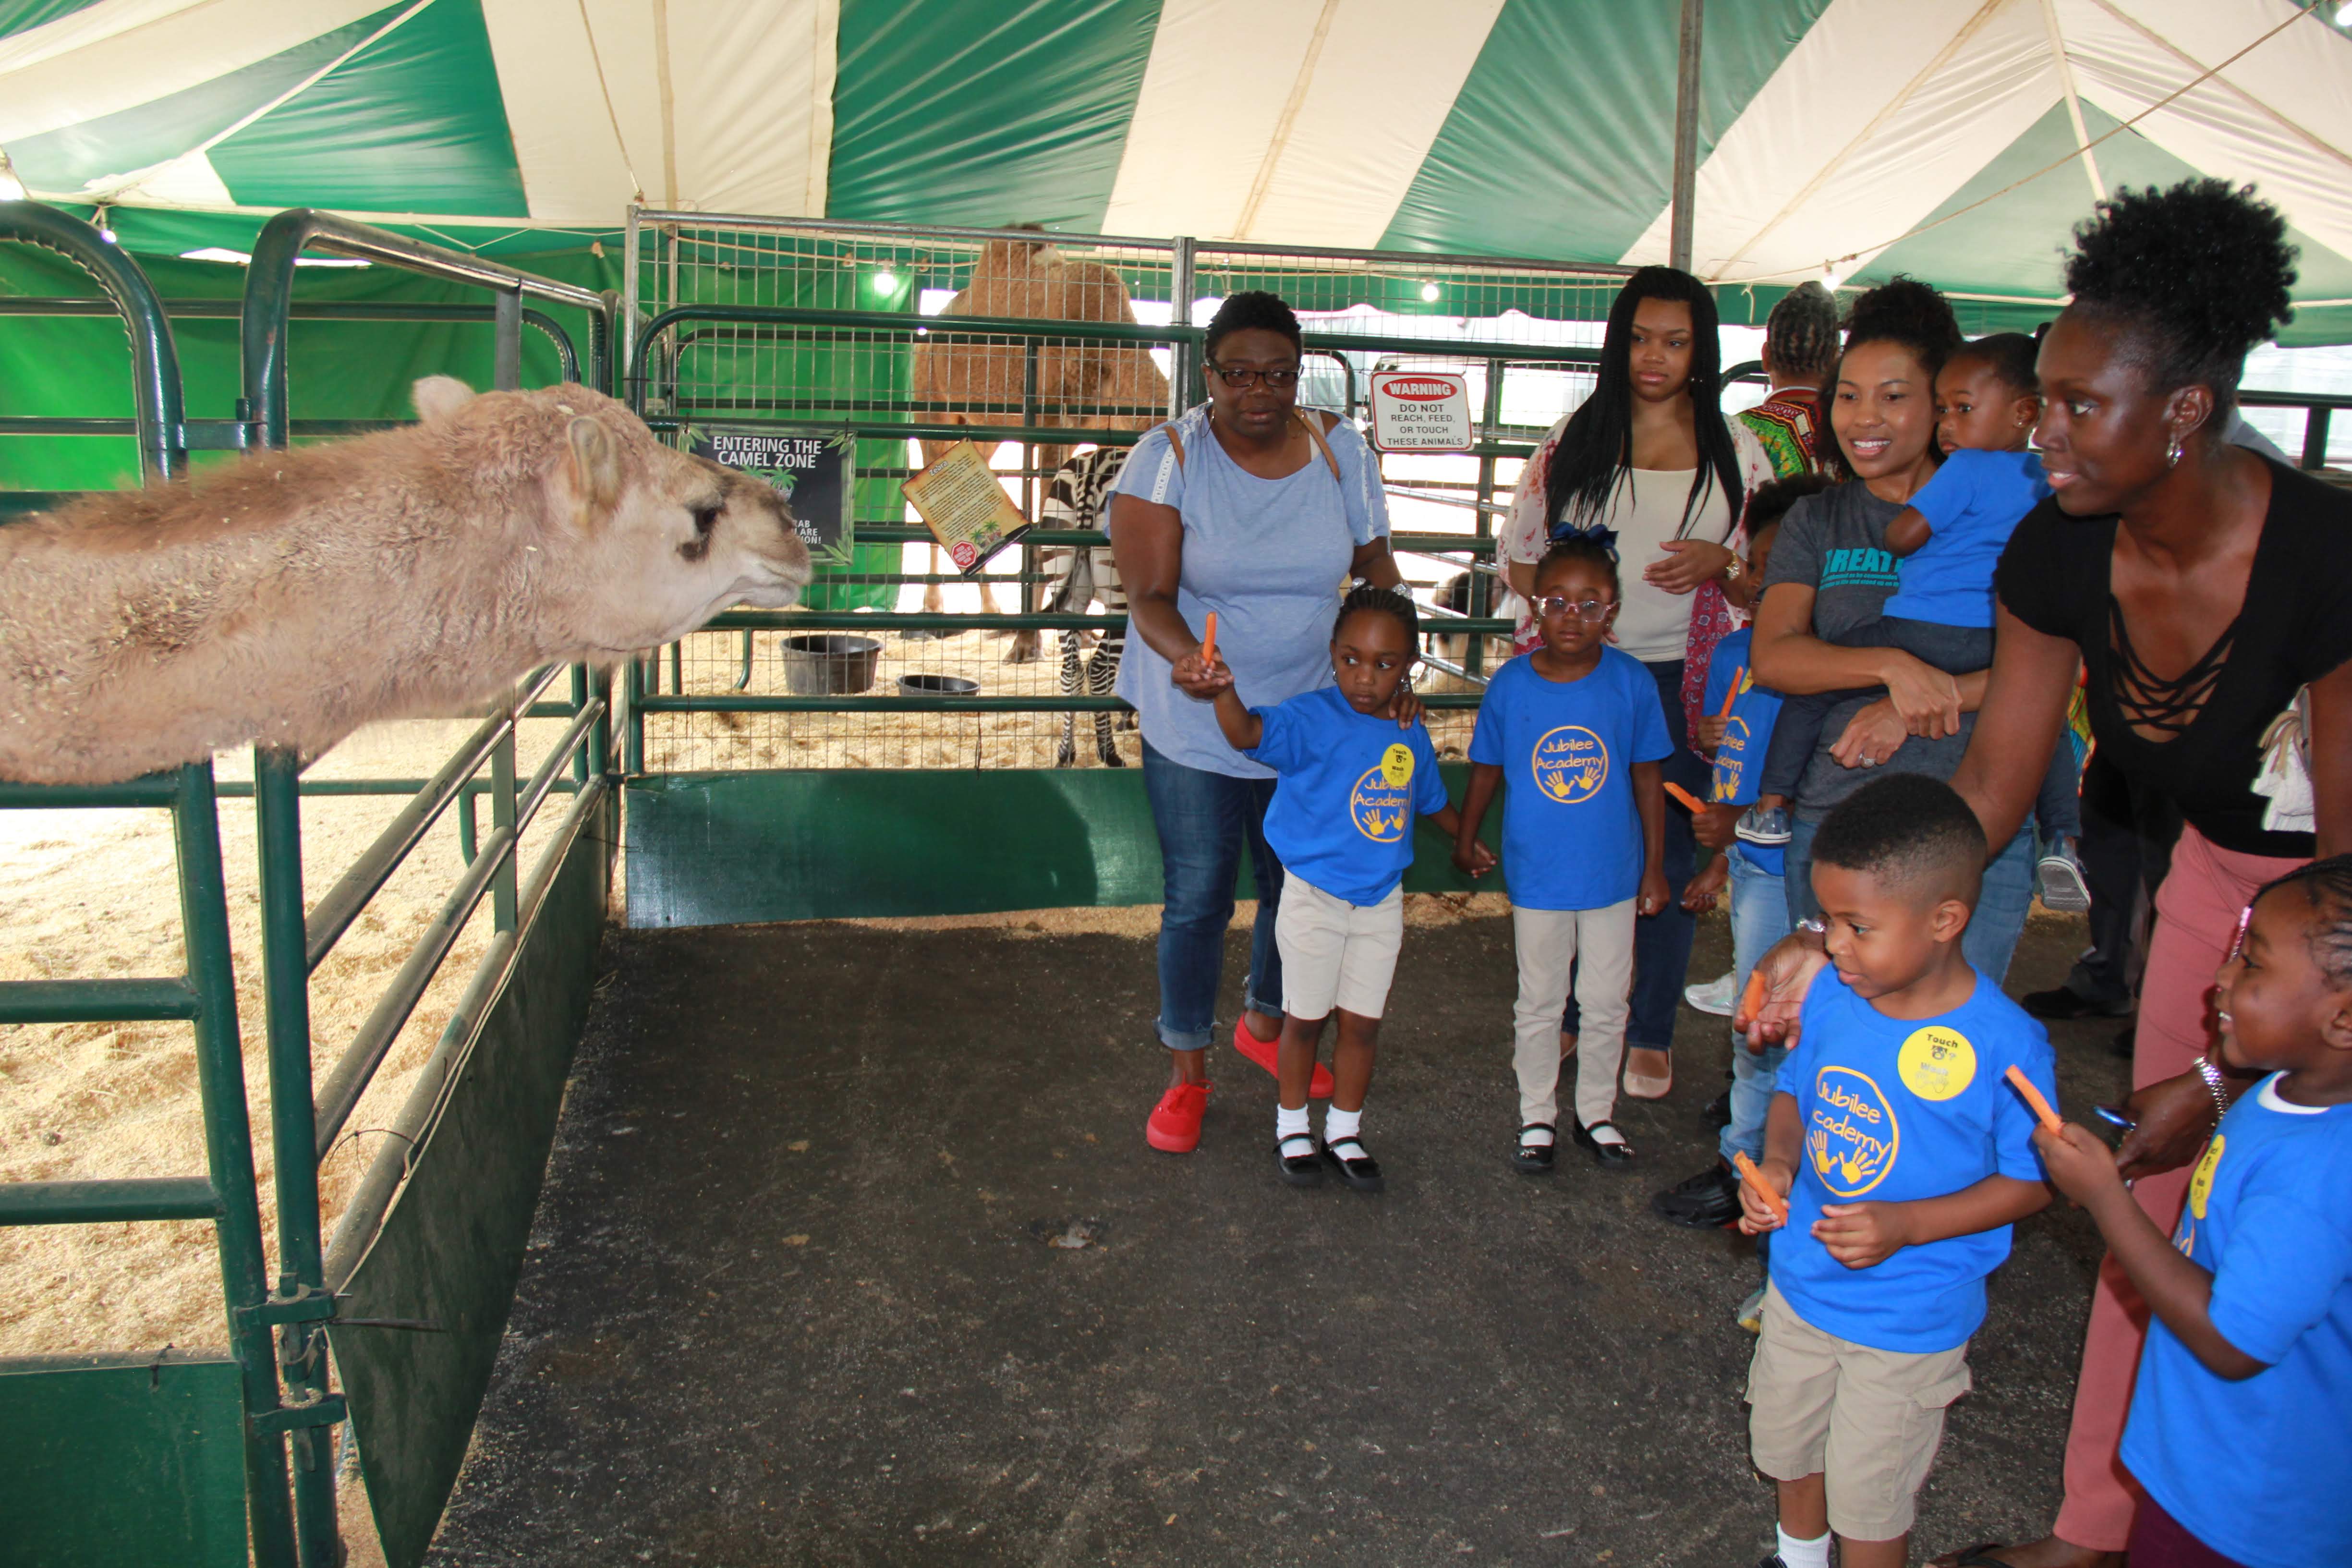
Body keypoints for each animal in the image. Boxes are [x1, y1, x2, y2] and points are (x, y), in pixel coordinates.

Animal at [908, 231, 1169, 660]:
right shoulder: (1051, 417)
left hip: (987, 431)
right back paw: (932, 612)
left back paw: (993, 612)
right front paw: (1028, 643)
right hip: (931, 409)